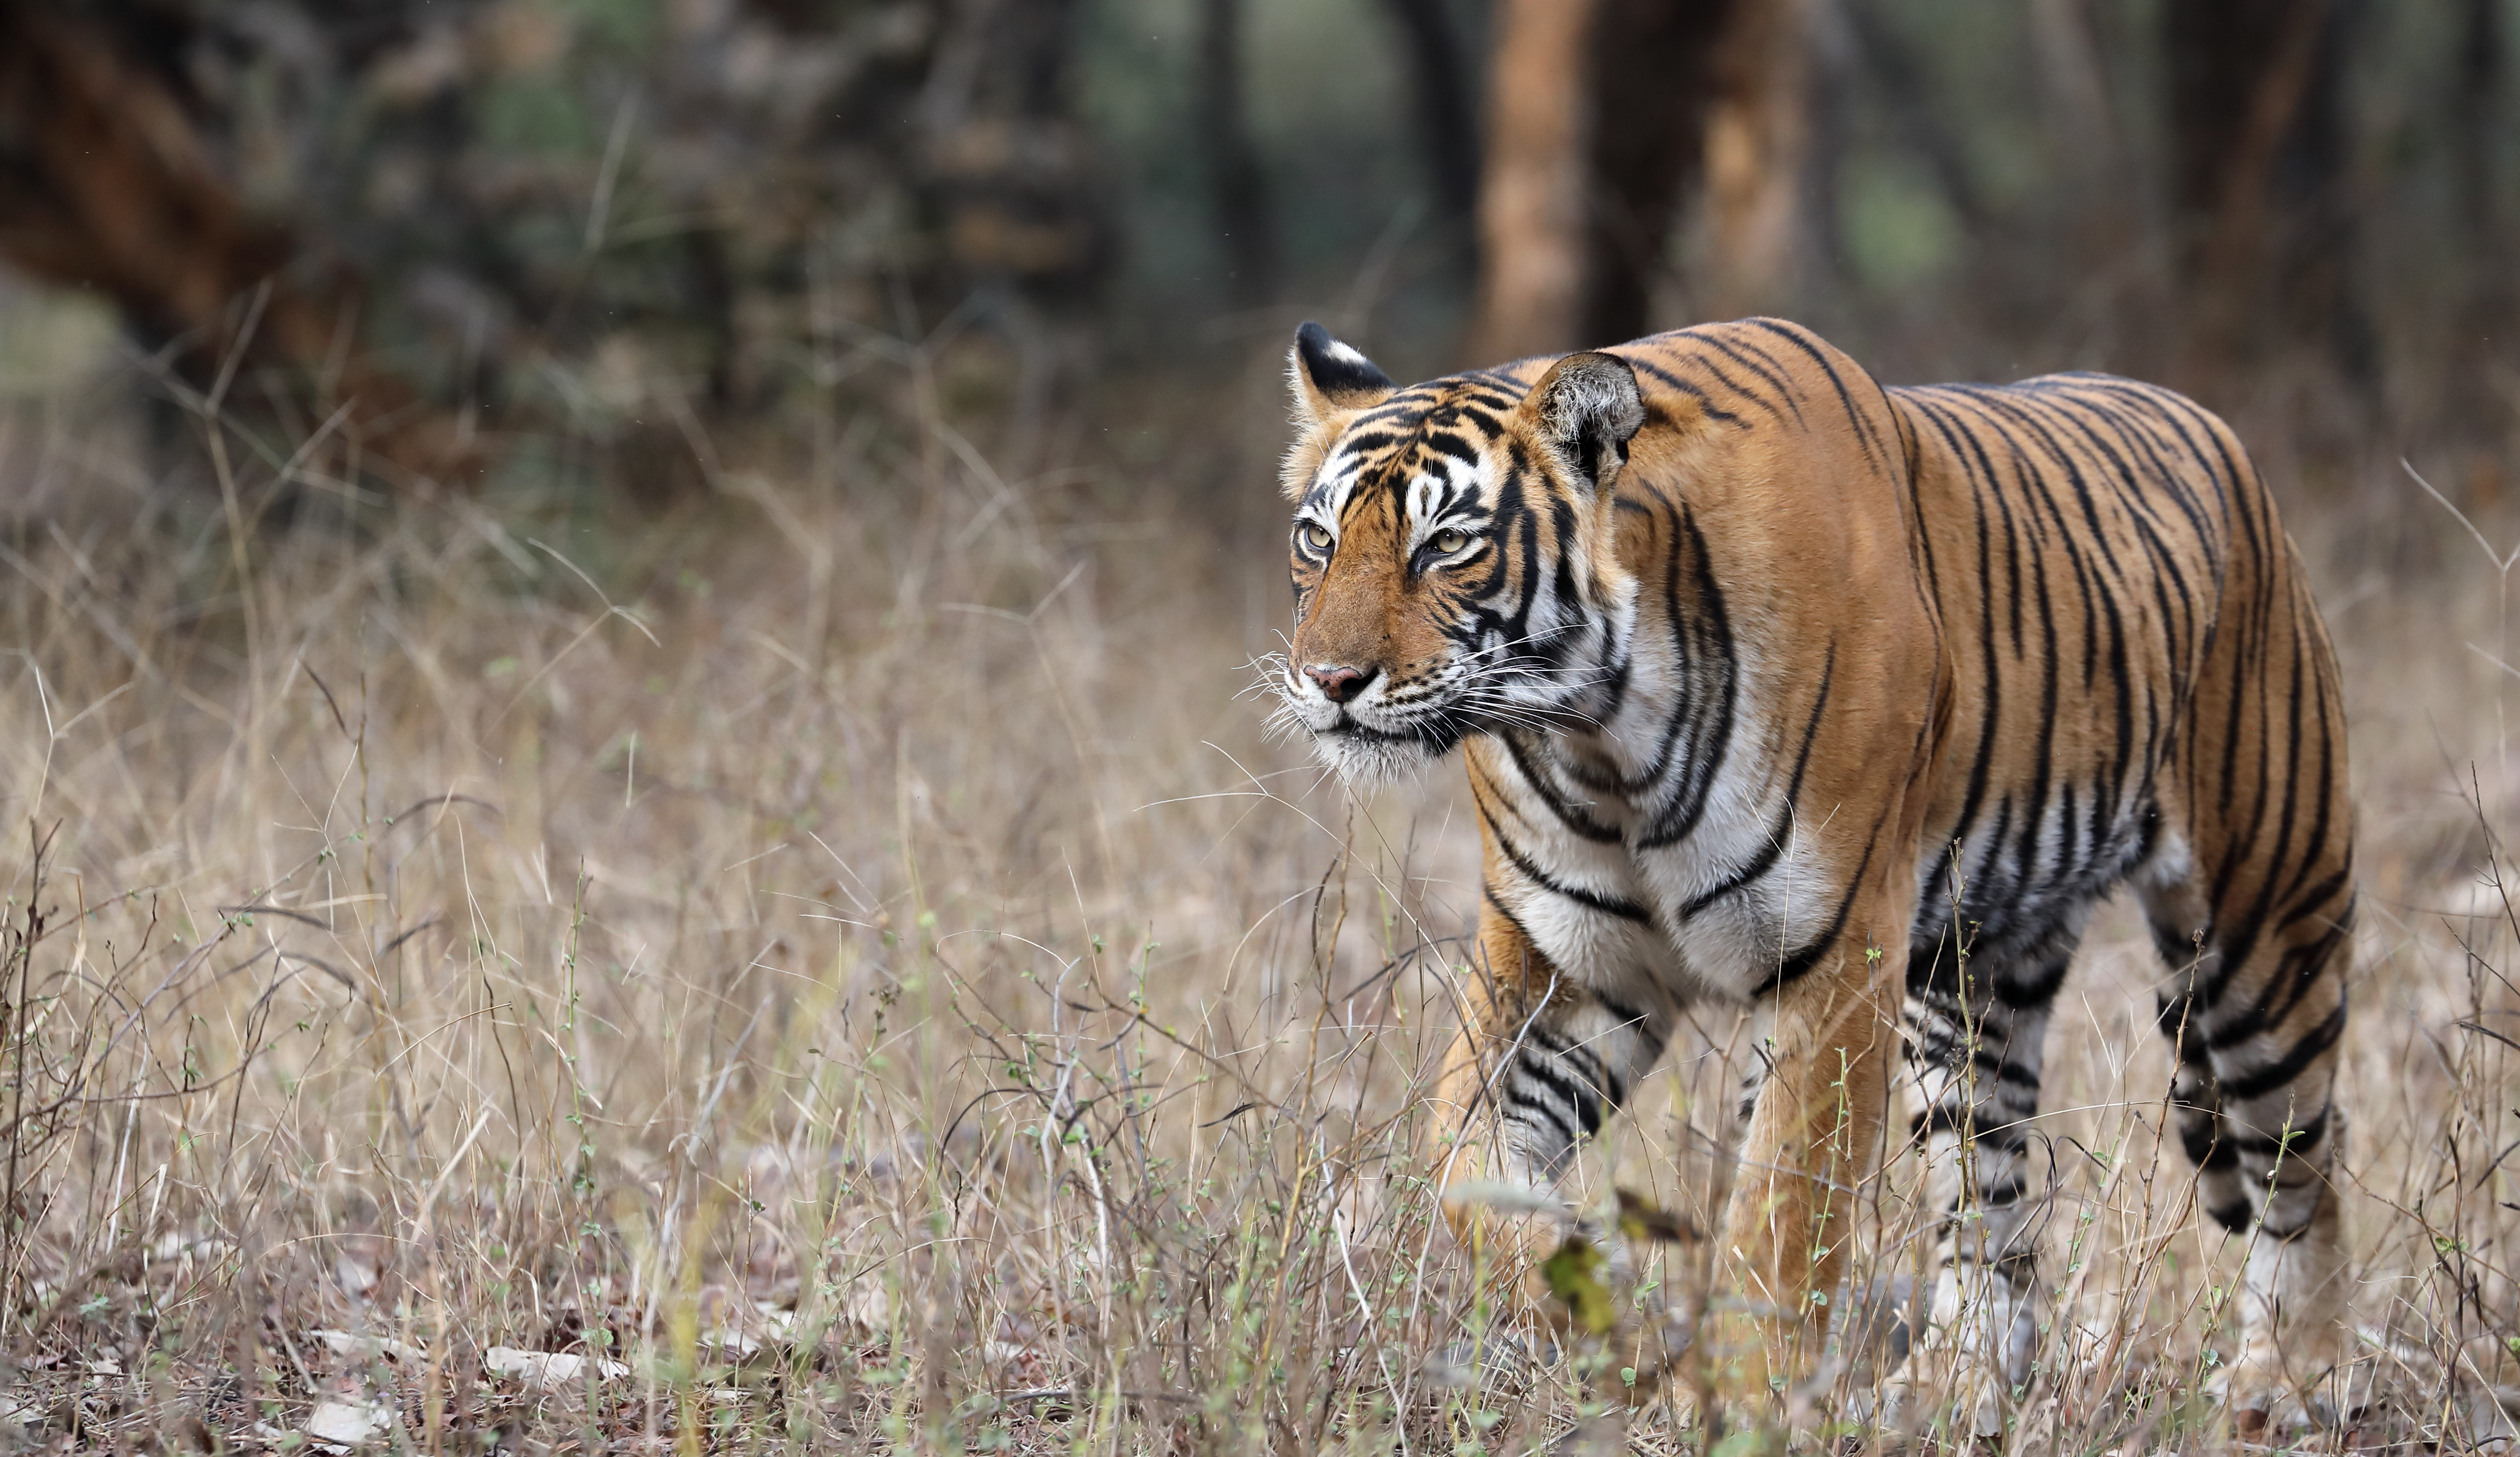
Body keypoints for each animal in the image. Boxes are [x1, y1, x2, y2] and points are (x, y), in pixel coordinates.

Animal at [1280, 312, 2358, 1422]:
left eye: (1445, 544)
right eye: (1318, 539)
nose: (1327, 679)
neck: (1600, 732)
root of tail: (2212, 429)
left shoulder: (1837, 953)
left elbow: (1785, 1206)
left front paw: (1745, 1402)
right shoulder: (1566, 965)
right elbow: (1460, 1163)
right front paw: (1604, 1295)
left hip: (2262, 932)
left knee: (2303, 1165)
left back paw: (2289, 1376)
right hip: (1968, 985)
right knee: (1984, 1192)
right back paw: (1952, 1384)